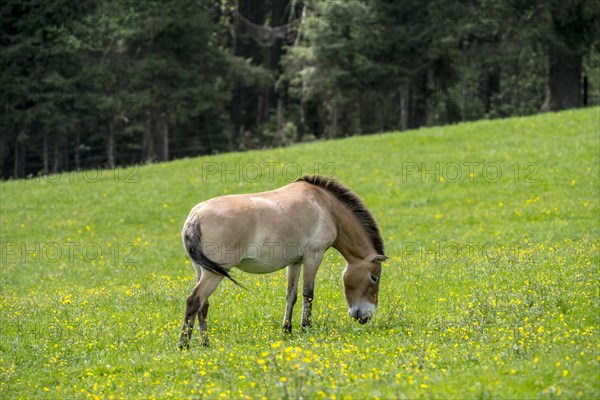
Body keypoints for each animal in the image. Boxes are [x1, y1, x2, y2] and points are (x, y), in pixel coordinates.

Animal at [177, 173, 390, 348]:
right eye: (374, 277)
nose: (366, 317)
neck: (326, 207)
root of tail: (195, 217)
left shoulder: (295, 262)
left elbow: (291, 296)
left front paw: (287, 330)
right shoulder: (313, 256)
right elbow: (308, 294)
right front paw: (306, 328)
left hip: (202, 270)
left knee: (204, 305)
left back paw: (205, 343)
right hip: (214, 274)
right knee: (194, 300)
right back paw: (183, 345)